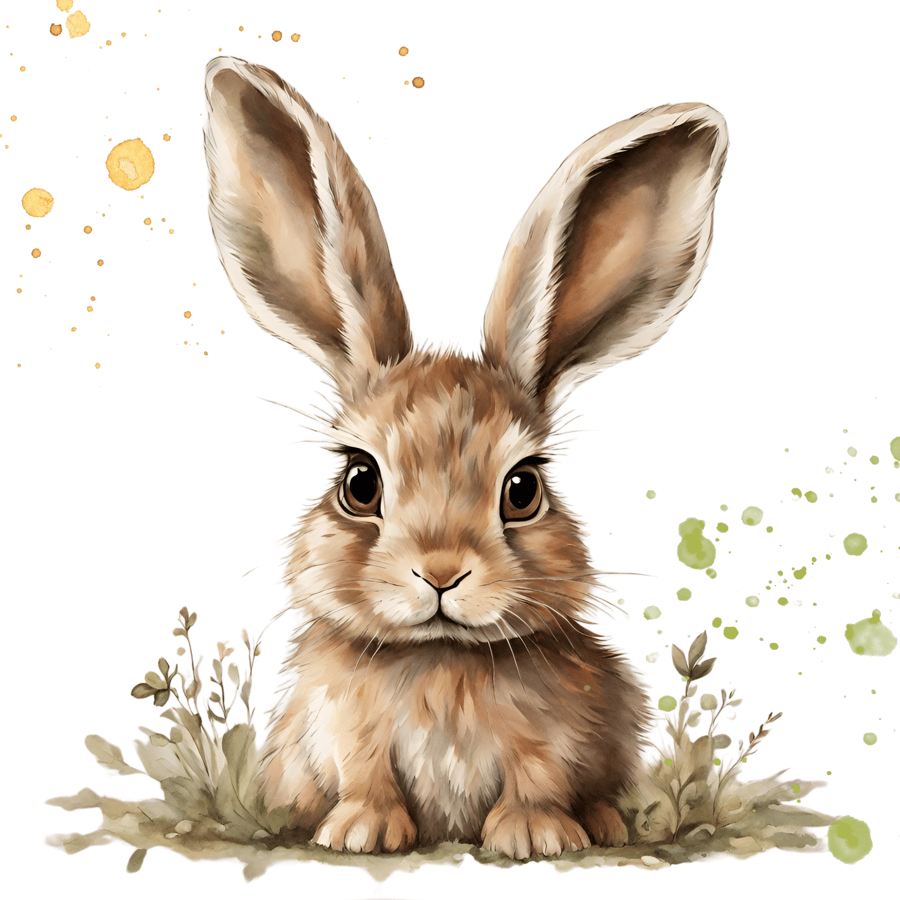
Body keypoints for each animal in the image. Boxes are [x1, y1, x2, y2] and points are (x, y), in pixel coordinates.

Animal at [203, 56, 727, 859]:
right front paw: (360, 830)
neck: (441, 658)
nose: (442, 572)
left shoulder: (561, 734)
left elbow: (540, 774)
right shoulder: (343, 727)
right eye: (359, 482)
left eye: (523, 490)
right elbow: (364, 771)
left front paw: (535, 835)